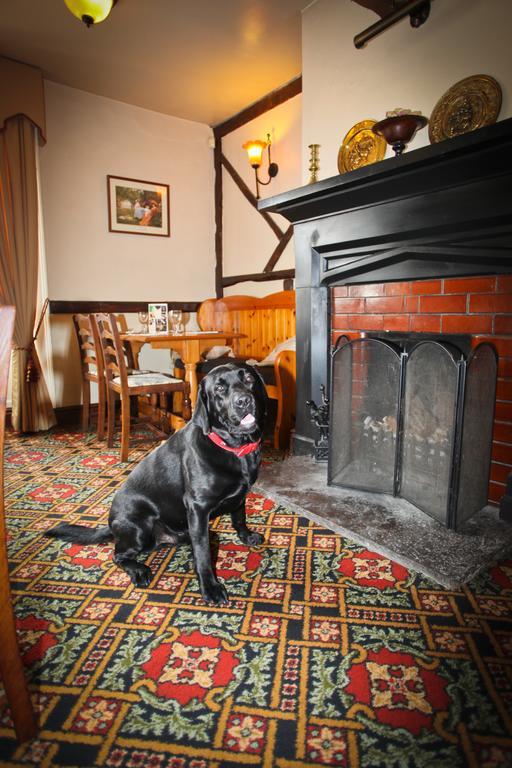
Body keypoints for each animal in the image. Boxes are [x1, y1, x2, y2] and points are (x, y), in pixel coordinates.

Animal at [47, 364, 268, 608]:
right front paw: (210, 588)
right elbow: (202, 555)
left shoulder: (240, 495)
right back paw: (139, 571)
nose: (244, 400)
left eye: (248, 378)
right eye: (219, 388)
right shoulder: (198, 508)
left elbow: (239, 517)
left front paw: (247, 536)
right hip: (138, 526)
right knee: (118, 555)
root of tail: (111, 525)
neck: (234, 449)